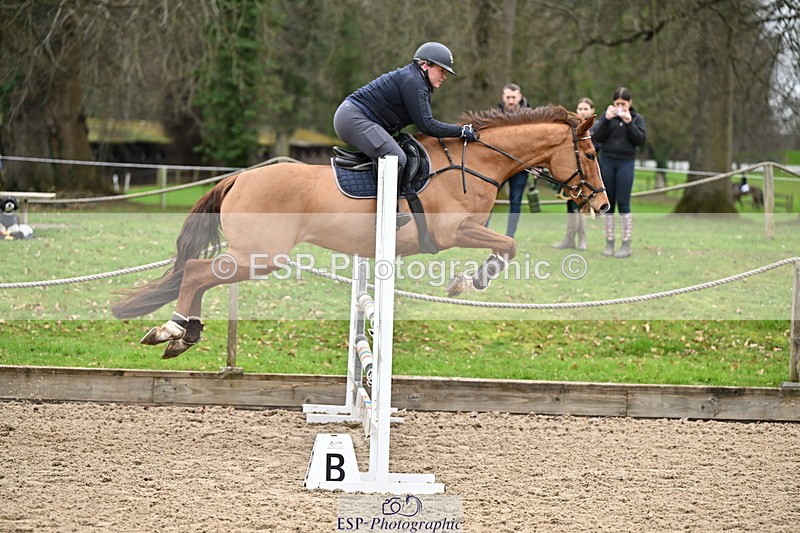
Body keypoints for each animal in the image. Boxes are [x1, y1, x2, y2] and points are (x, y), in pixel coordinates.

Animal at [112, 105, 609, 358]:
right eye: (589, 154)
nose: (602, 204)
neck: (475, 163)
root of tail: (239, 178)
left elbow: (506, 245)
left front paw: (468, 281)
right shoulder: (453, 232)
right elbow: (508, 245)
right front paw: (469, 282)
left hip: (254, 256)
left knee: (196, 273)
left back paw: (186, 335)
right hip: (260, 257)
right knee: (197, 272)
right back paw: (172, 330)